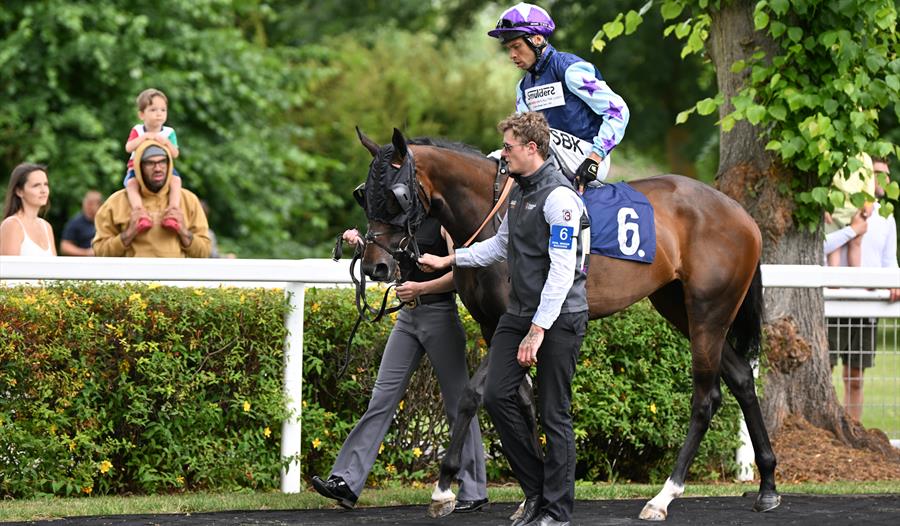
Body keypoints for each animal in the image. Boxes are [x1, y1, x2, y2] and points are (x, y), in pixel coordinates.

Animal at [354, 129, 780, 524]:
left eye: (394, 195)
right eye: (364, 195)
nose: (375, 266)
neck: (493, 213)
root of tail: (741, 214)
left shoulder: (518, 320)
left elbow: (471, 396)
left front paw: (444, 488)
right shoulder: (496, 328)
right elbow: (521, 400)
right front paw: (535, 492)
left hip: (709, 311)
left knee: (707, 398)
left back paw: (663, 497)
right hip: (679, 306)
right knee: (742, 377)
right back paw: (768, 485)